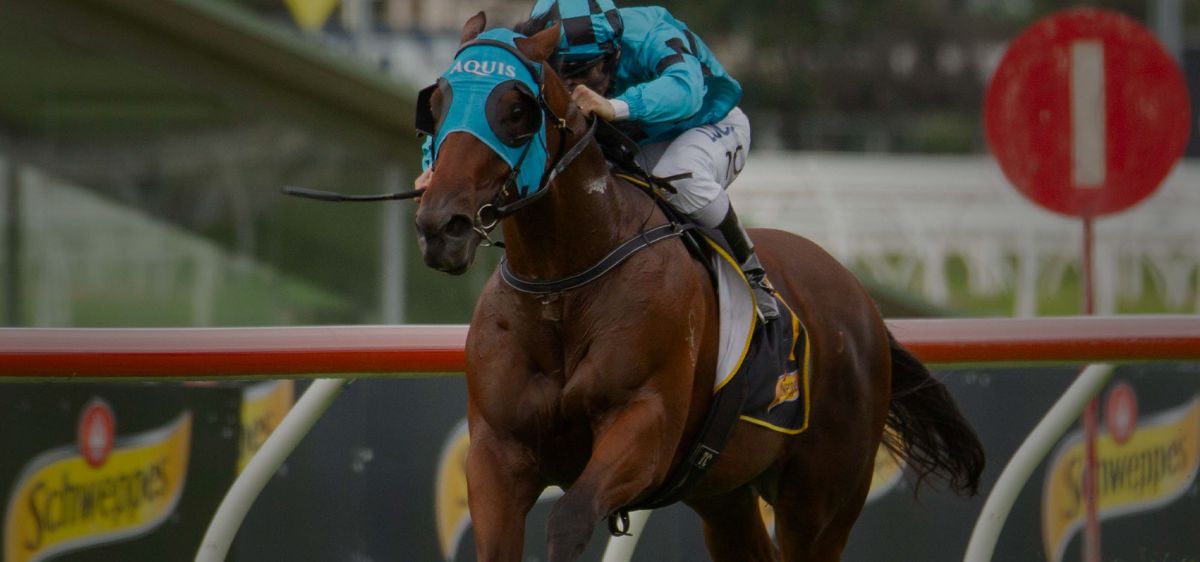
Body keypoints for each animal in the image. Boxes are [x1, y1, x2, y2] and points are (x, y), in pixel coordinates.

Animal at [413, 13, 984, 562]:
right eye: (436, 104)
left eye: (515, 110)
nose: (442, 225)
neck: (564, 284)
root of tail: (861, 301)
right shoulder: (497, 453)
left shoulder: (645, 424)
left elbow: (569, 519)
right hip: (723, 492)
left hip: (822, 498)